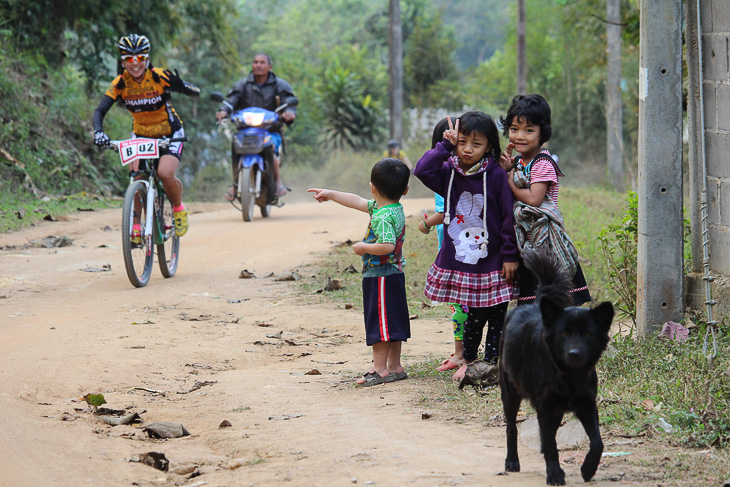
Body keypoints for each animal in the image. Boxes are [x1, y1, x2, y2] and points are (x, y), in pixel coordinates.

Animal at [498, 250, 612, 486]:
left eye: (587, 334)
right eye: (564, 333)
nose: (574, 353)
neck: (569, 376)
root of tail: (535, 304)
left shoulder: (586, 404)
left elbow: (597, 442)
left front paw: (588, 469)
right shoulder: (546, 407)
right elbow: (551, 444)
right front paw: (555, 474)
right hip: (510, 393)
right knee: (511, 427)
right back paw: (512, 461)